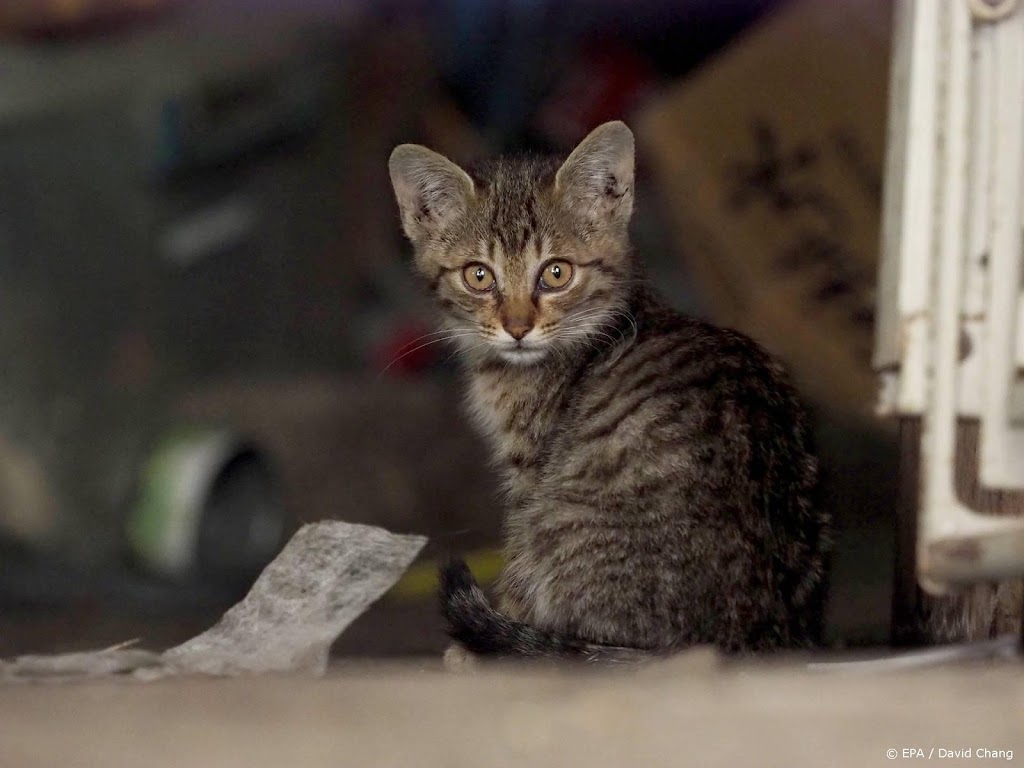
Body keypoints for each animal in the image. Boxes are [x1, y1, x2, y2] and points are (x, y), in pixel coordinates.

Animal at [387, 120, 827, 663]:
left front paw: (481, 646)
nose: (517, 328)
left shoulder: (531, 478)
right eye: (479, 275)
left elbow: (516, 571)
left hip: (556, 518)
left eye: (556, 273)